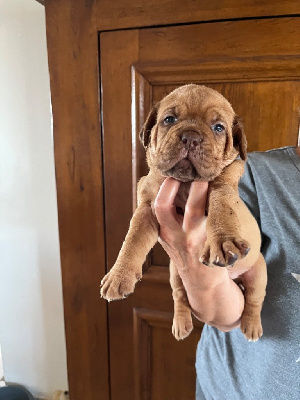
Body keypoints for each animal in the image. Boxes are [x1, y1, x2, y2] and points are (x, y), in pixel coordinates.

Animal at [101, 83, 268, 340]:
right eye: (169, 119)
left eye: (218, 127)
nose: (191, 137)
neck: (185, 183)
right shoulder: (147, 207)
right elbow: (132, 240)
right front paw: (119, 275)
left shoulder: (223, 187)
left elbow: (222, 210)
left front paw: (222, 241)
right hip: (175, 273)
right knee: (180, 296)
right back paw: (181, 323)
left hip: (259, 272)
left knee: (254, 299)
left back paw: (252, 326)